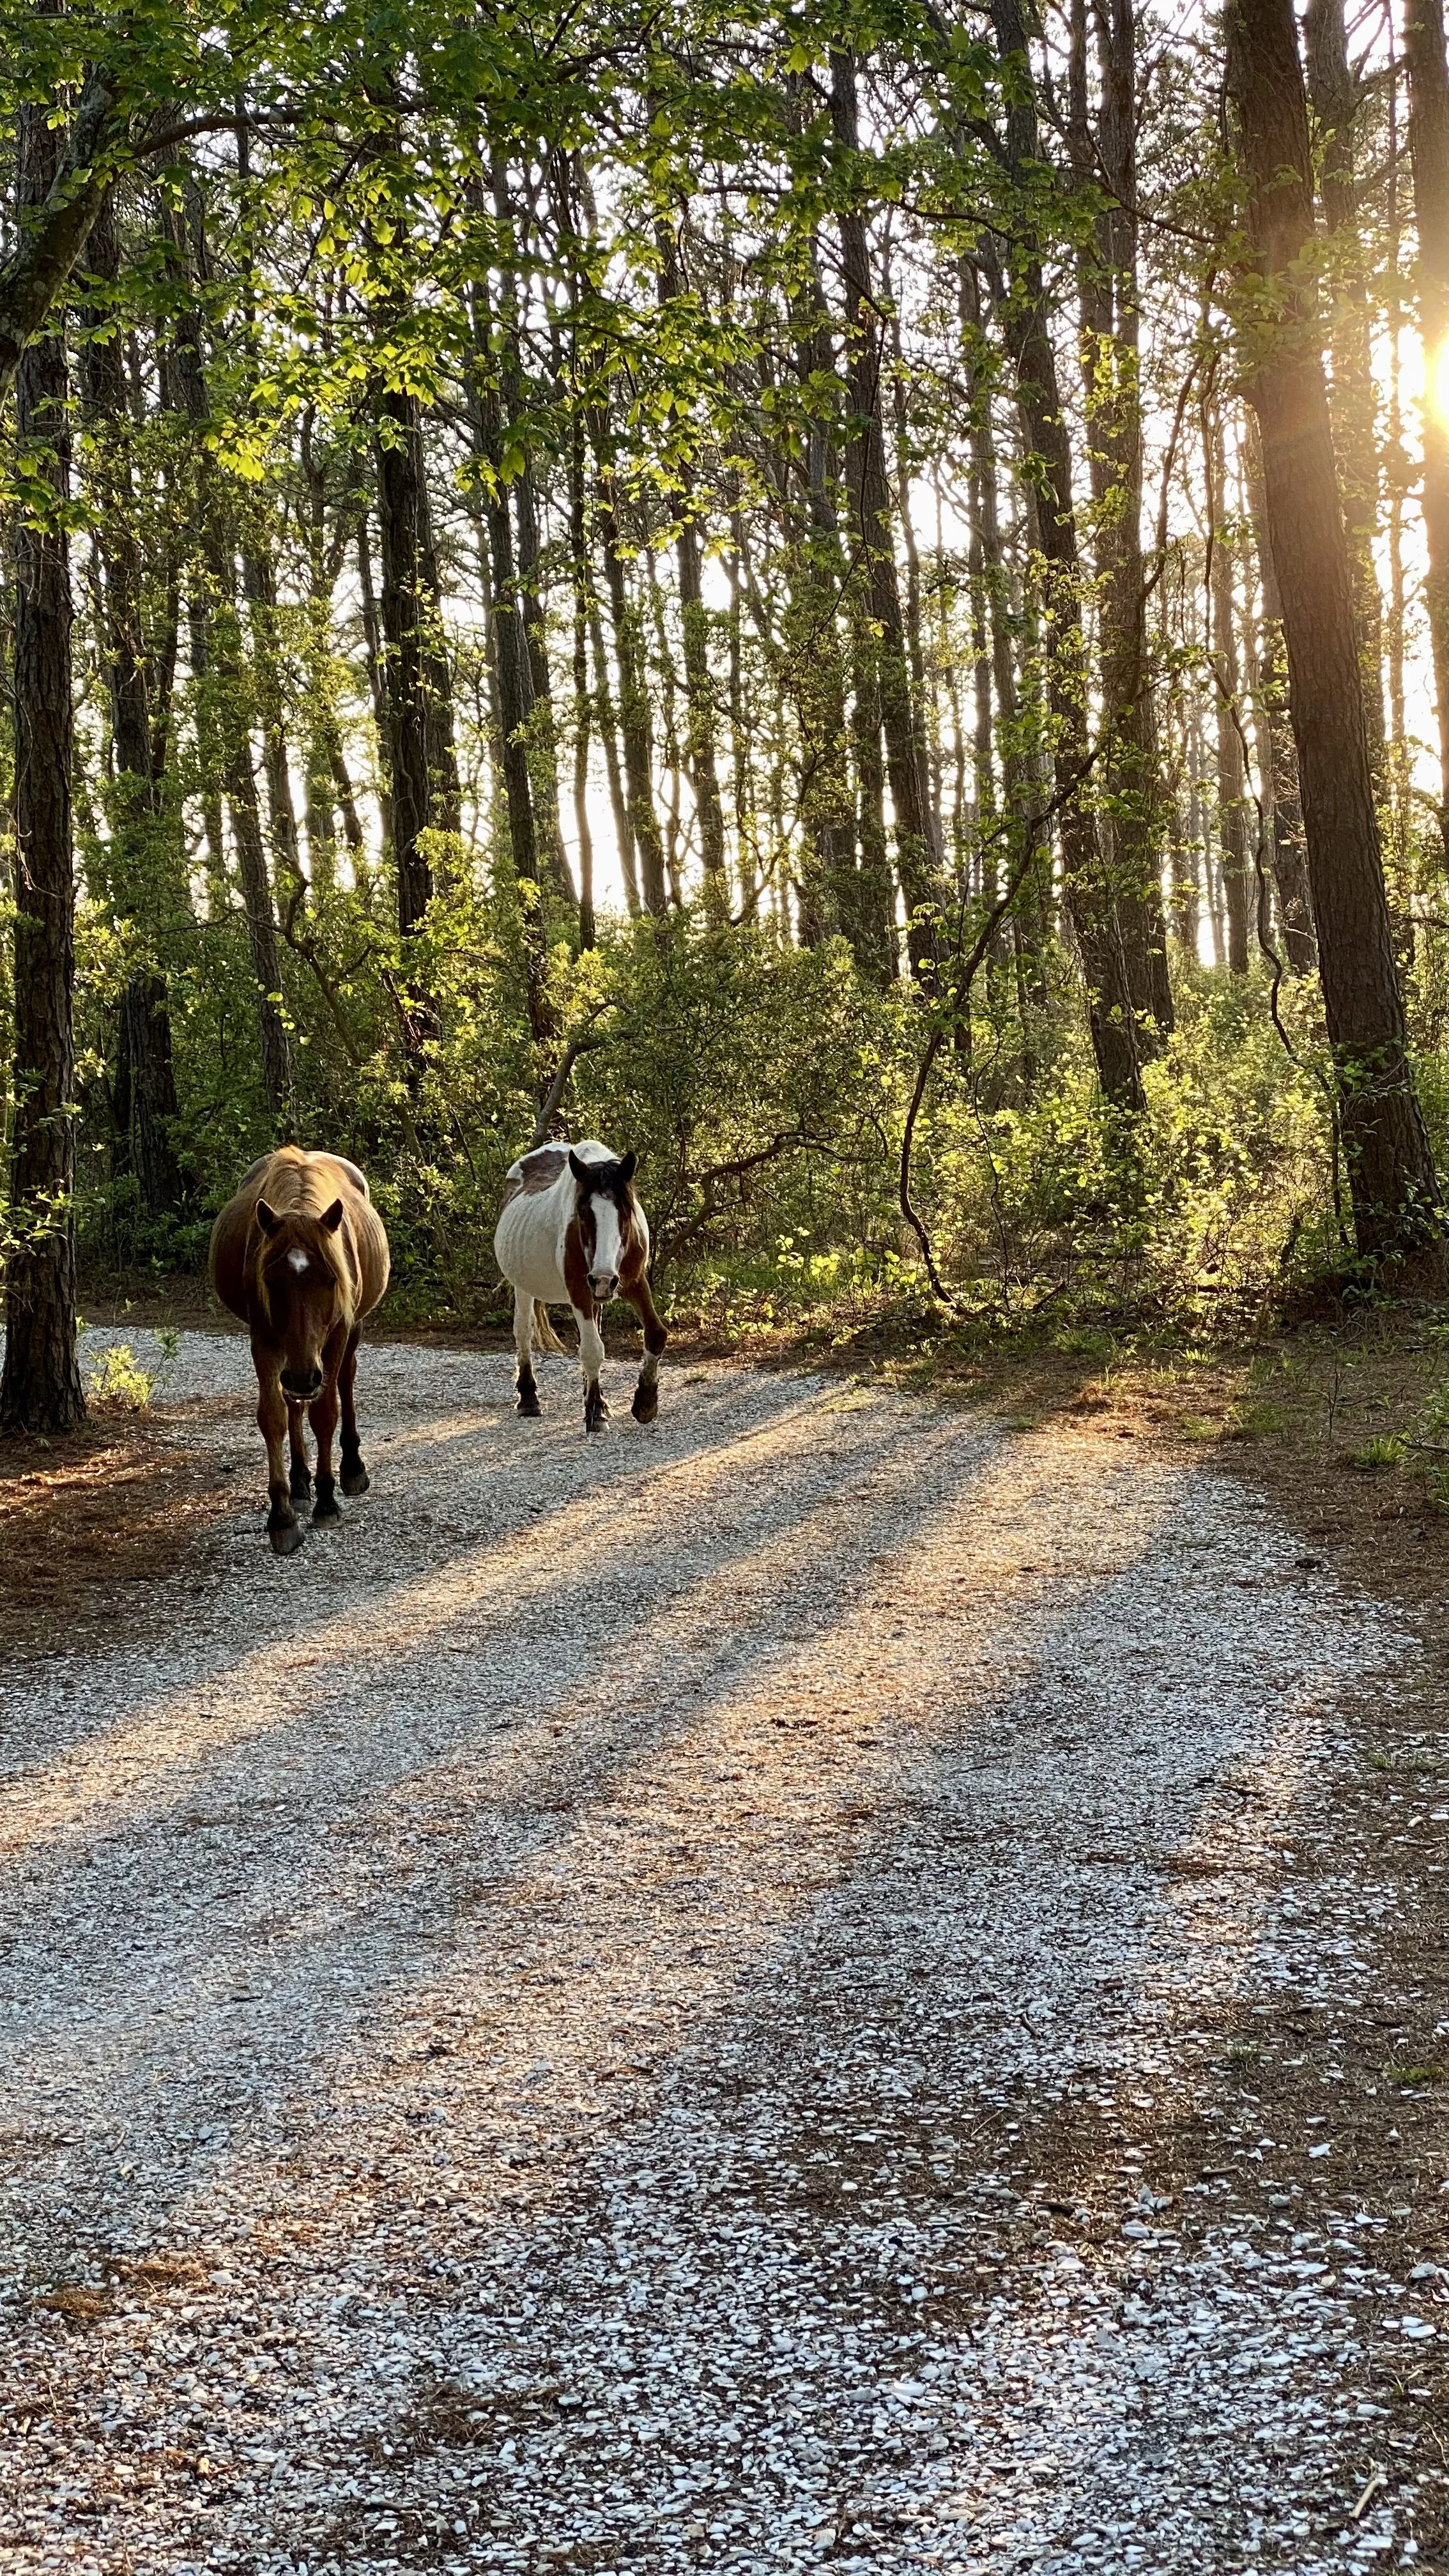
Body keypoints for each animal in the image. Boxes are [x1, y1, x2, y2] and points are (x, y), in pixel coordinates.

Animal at [210, 1147, 391, 1555]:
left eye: (330, 1279)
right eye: (271, 1280)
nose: (304, 1377)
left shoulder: (335, 1335)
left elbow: (326, 1413)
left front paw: (327, 1500)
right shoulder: (265, 1340)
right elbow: (274, 1416)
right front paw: (282, 1515)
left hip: (343, 1337)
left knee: (344, 1381)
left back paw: (351, 1468)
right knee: (294, 1403)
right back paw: (299, 1481)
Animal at [493, 1140, 666, 1434]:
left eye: (625, 1212)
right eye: (583, 1214)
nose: (603, 1278)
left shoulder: (633, 1282)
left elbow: (655, 1334)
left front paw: (645, 1403)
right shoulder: (580, 1291)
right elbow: (592, 1351)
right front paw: (595, 1413)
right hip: (524, 1285)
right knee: (524, 1331)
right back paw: (528, 1398)